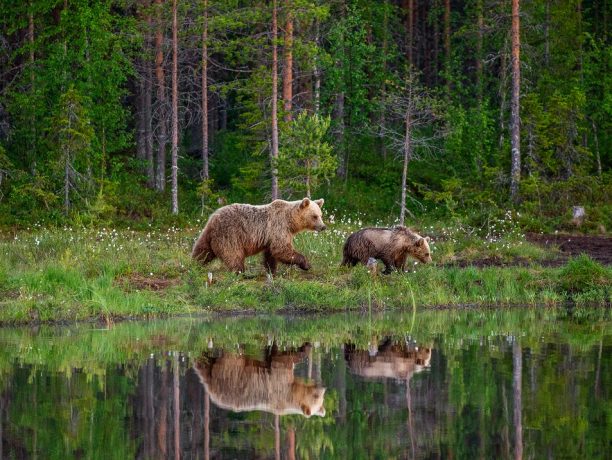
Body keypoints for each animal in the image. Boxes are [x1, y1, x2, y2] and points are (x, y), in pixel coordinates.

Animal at [191, 197, 326, 274]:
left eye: (321, 215)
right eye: (314, 216)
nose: (323, 226)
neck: (290, 222)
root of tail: (213, 217)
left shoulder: (270, 236)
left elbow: (271, 253)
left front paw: (271, 271)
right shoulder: (279, 227)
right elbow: (282, 249)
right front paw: (306, 264)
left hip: (208, 235)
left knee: (202, 251)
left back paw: (194, 264)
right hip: (230, 234)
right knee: (233, 254)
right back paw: (240, 272)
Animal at [194, 344, 328, 418]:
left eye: (322, 397)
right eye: (316, 396)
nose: (322, 387)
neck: (292, 394)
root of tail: (212, 390)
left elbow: (273, 355)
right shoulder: (280, 383)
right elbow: (282, 359)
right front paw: (305, 348)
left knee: (206, 366)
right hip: (231, 375)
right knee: (231, 357)